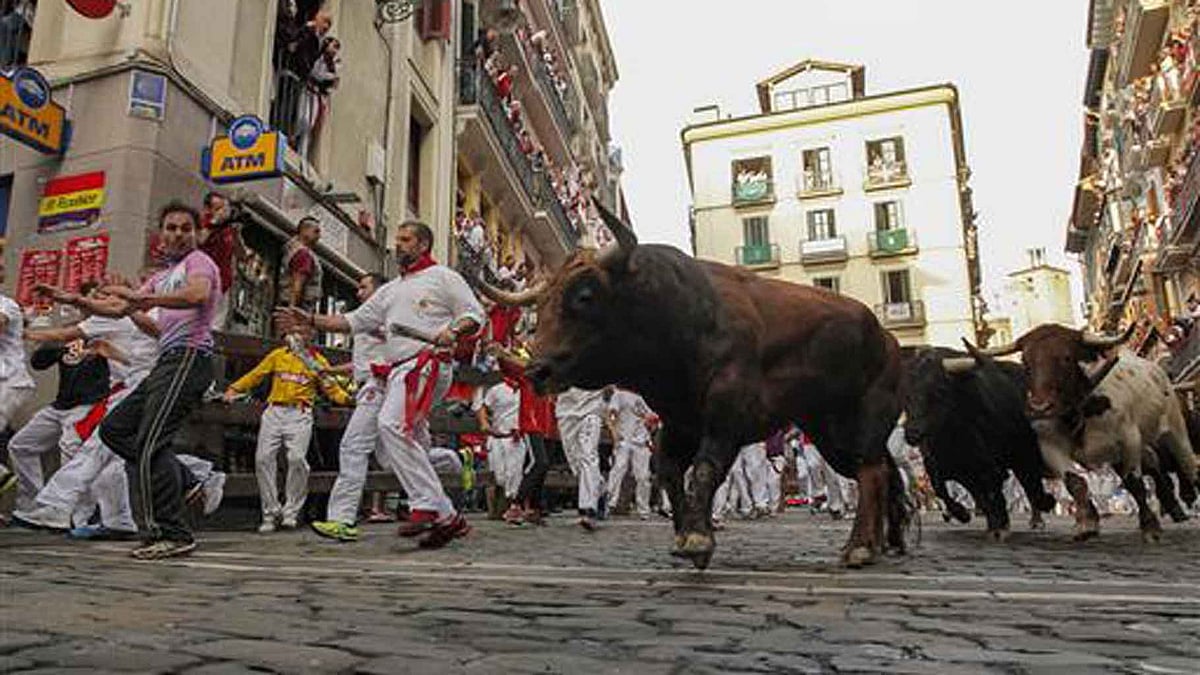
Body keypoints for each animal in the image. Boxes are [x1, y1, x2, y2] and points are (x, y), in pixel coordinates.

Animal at [472, 203, 910, 569]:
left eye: (584, 296)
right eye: (540, 305)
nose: (537, 370)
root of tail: (887, 339)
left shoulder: (726, 416)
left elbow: (704, 468)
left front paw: (698, 538)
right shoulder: (680, 421)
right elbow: (669, 471)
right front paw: (685, 532)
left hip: (861, 420)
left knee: (870, 471)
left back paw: (859, 546)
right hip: (829, 432)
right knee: (882, 472)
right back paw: (886, 541)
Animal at [900, 347, 1056, 540]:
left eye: (939, 390)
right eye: (905, 394)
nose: (912, 433)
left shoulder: (995, 465)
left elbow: (996, 492)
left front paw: (1001, 526)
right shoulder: (943, 465)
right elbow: (943, 489)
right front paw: (963, 514)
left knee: (1029, 485)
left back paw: (1038, 516)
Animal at [970, 324, 1198, 542]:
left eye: (1066, 357)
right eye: (1026, 361)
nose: (1040, 407)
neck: (1078, 410)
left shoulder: (1128, 440)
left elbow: (1135, 483)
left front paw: (1150, 527)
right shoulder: (1050, 446)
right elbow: (1075, 482)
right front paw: (1087, 524)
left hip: (1175, 431)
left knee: (1187, 465)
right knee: (1153, 463)